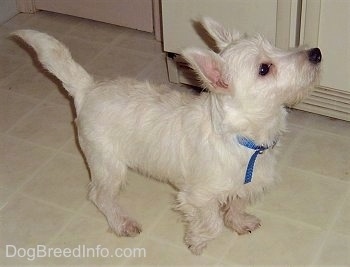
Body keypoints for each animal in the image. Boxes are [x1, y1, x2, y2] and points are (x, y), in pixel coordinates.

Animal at [13, 17, 320, 256]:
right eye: (264, 69)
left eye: (275, 46)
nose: (316, 52)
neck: (242, 136)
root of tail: (87, 88)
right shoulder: (197, 196)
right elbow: (212, 223)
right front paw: (196, 242)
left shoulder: (247, 182)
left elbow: (237, 202)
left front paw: (239, 221)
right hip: (107, 165)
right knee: (99, 195)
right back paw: (122, 222)